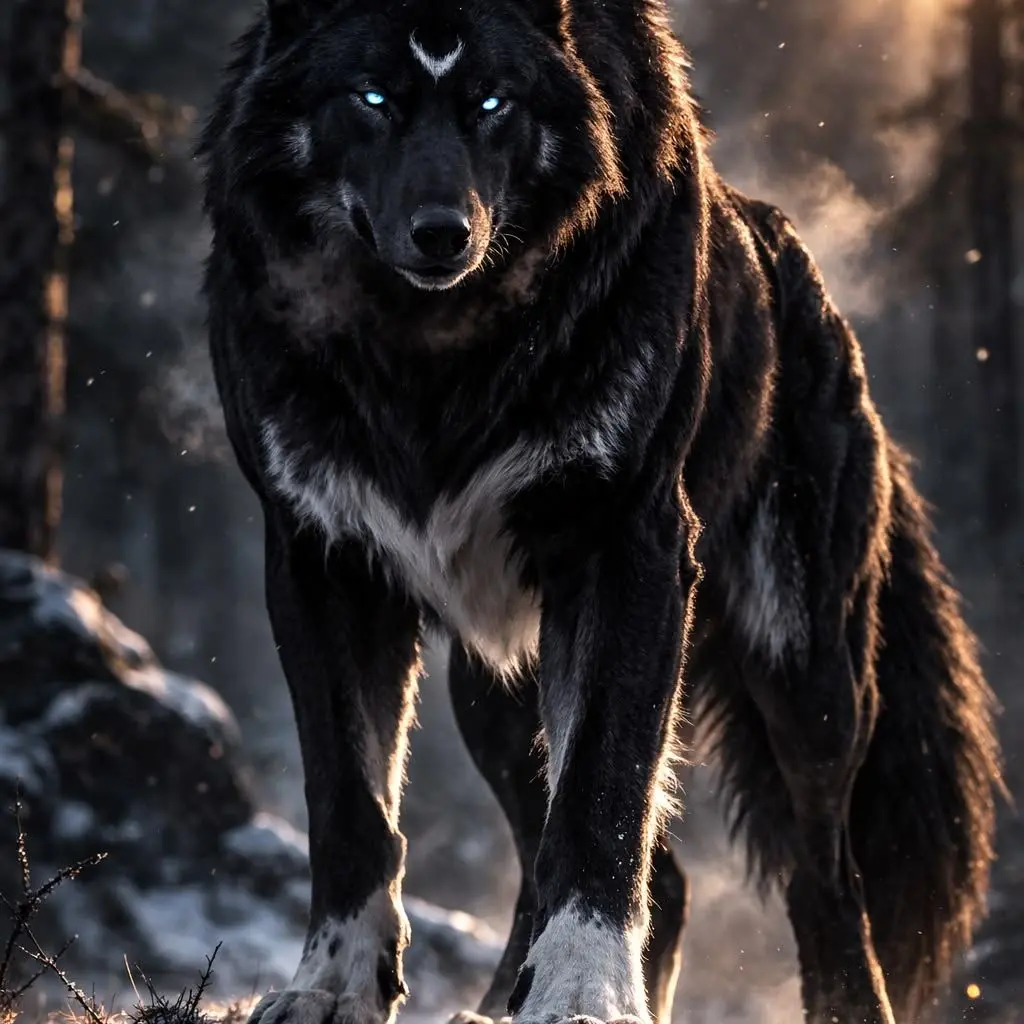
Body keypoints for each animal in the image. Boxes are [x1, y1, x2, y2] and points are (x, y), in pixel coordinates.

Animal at [199, 1, 1004, 1022]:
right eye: (371, 97)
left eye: (493, 101)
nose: (442, 234)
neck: (433, 356)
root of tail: (795, 259)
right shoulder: (317, 561)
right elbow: (350, 810)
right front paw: (328, 989)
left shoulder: (627, 551)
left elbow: (600, 806)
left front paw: (583, 995)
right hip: (495, 698)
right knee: (650, 873)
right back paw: (496, 1005)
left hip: (804, 673)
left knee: (824, 881)